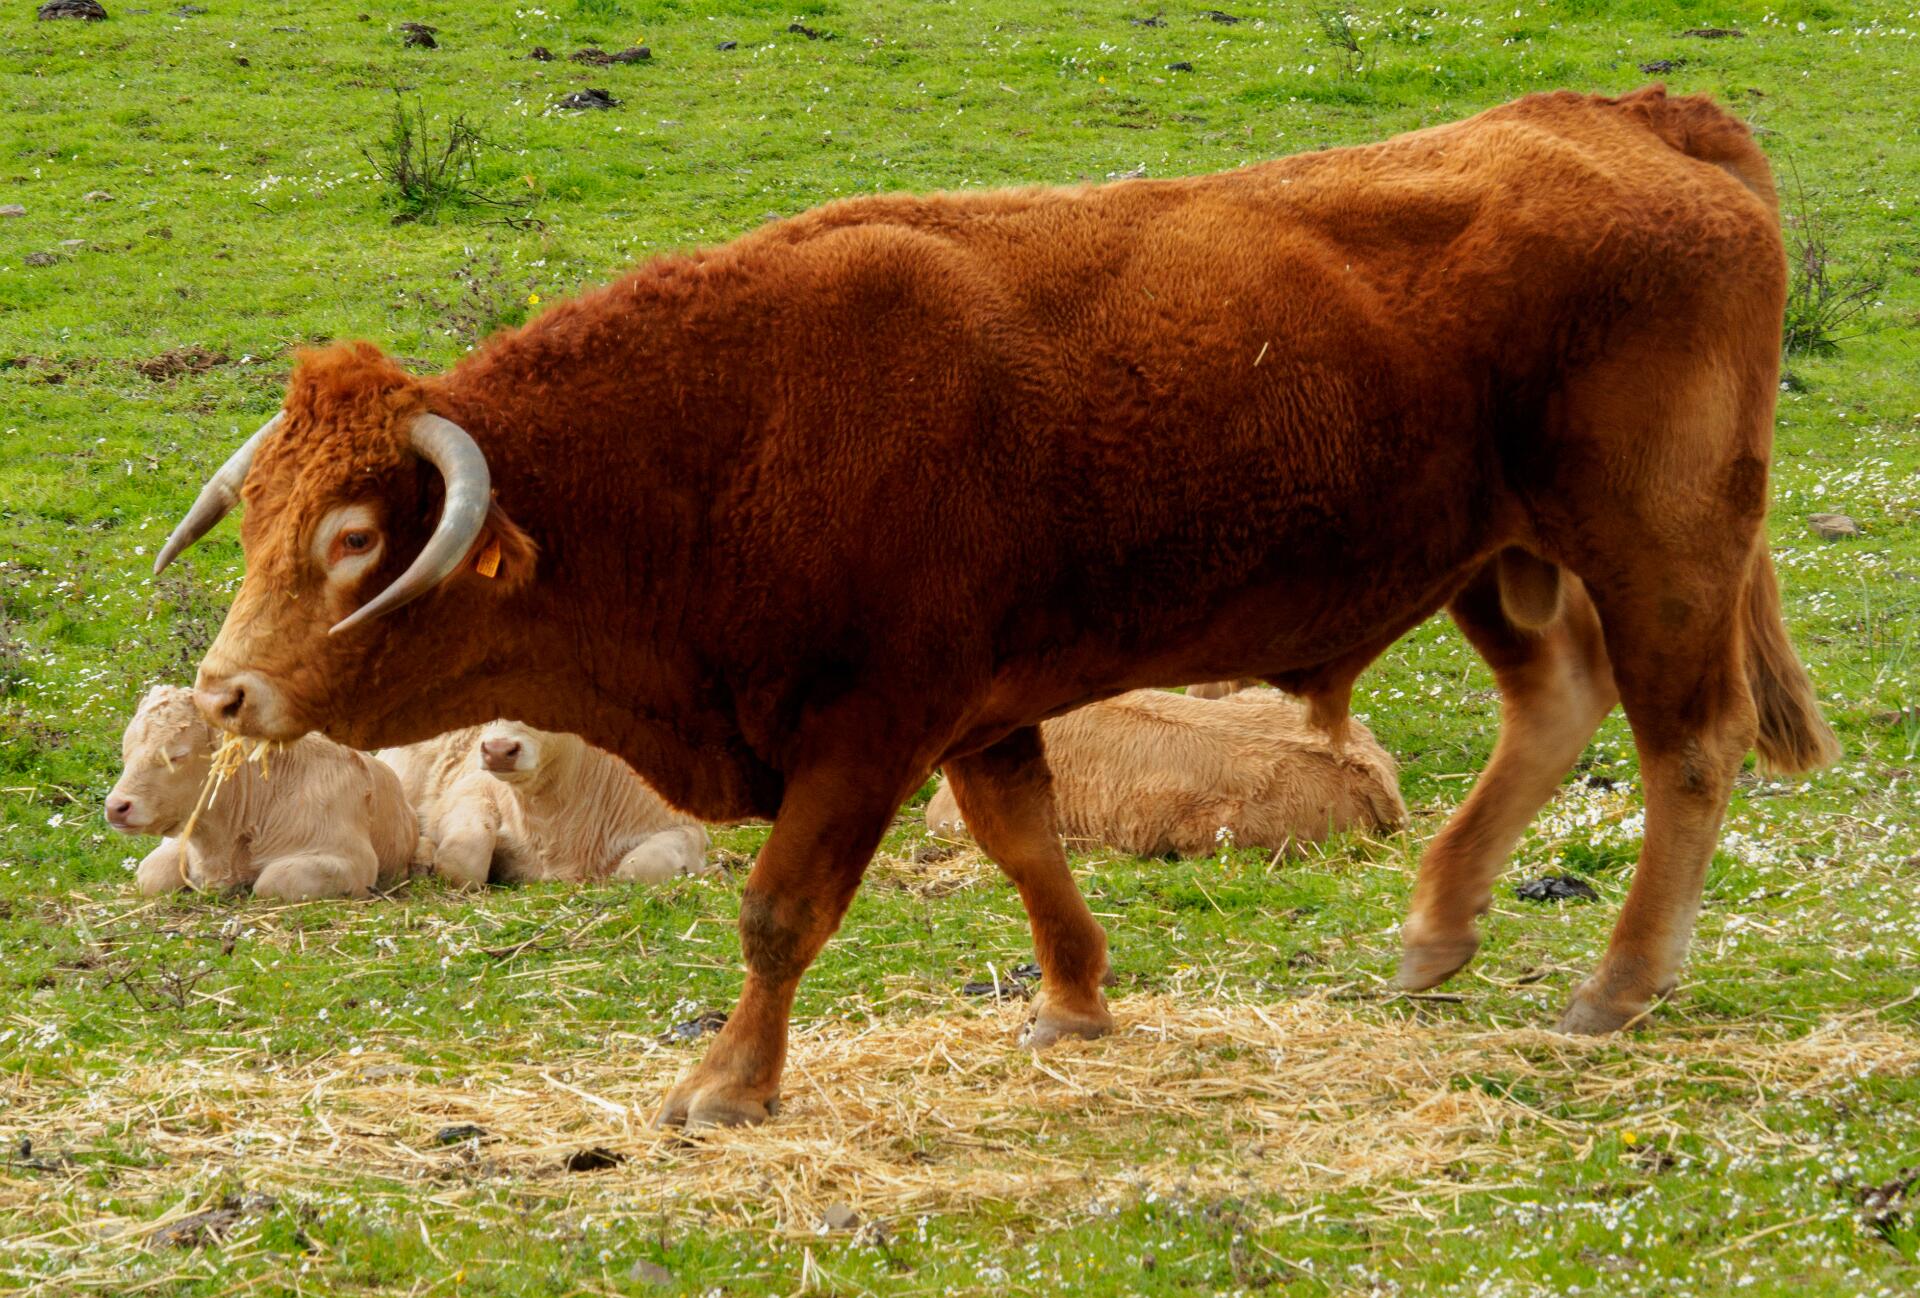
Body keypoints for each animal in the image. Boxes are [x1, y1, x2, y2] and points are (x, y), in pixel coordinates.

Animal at [106, 685, 416, 899]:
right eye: (125, 750)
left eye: (177, 755)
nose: (116, 806)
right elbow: (152, 873)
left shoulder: (352, 862)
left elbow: (271, 881)